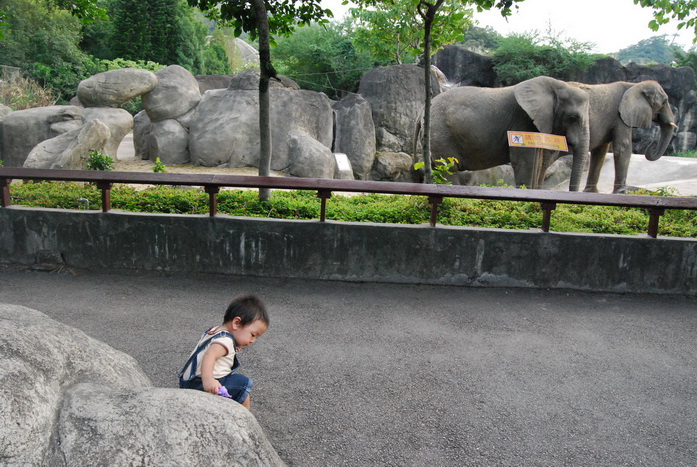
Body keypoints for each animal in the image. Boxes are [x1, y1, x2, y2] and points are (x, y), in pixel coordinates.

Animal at [422, 75, 588, 190]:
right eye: (573, 118)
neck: (554, 84)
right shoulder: (523, 121)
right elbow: (524, 162)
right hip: (441, 136)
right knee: (448, 170)